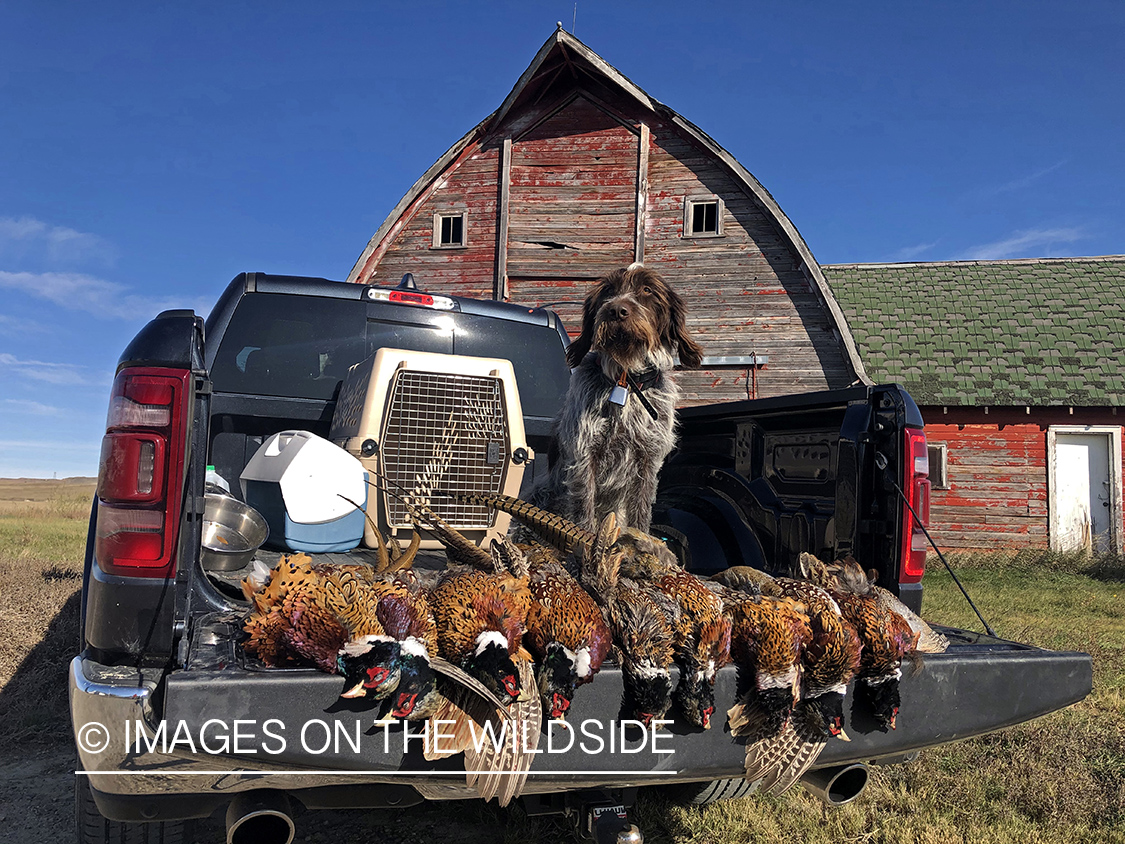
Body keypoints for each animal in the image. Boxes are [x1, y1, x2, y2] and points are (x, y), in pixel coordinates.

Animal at [528, 263, 702, 535]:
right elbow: (584, 509)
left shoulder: (647, 460)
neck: (626, 380)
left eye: (647, 289)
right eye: (608, 291)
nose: (616, 311)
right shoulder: (585, 454)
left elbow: (641, 512)